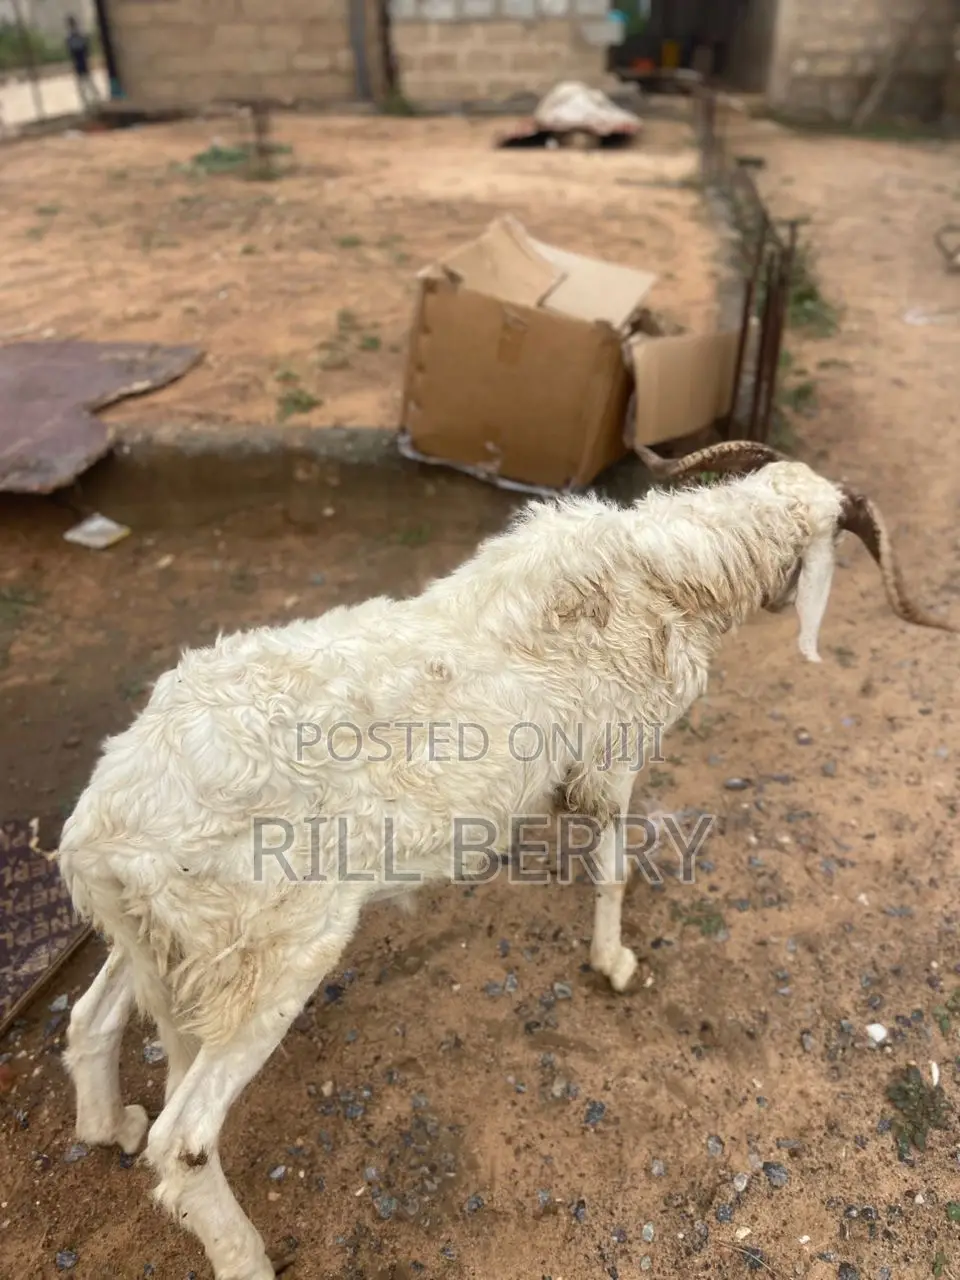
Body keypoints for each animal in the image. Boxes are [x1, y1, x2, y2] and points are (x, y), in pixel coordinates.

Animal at [56, 440, 955, 1280]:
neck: (663, 576)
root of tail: (98, 835)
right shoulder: (612, 759)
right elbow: (612, 870)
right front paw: (614, 963)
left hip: (176, 940)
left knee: (90, 1020)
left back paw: (109, 1125)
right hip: (273, 952)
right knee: (185, 1140)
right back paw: (243, 1253)